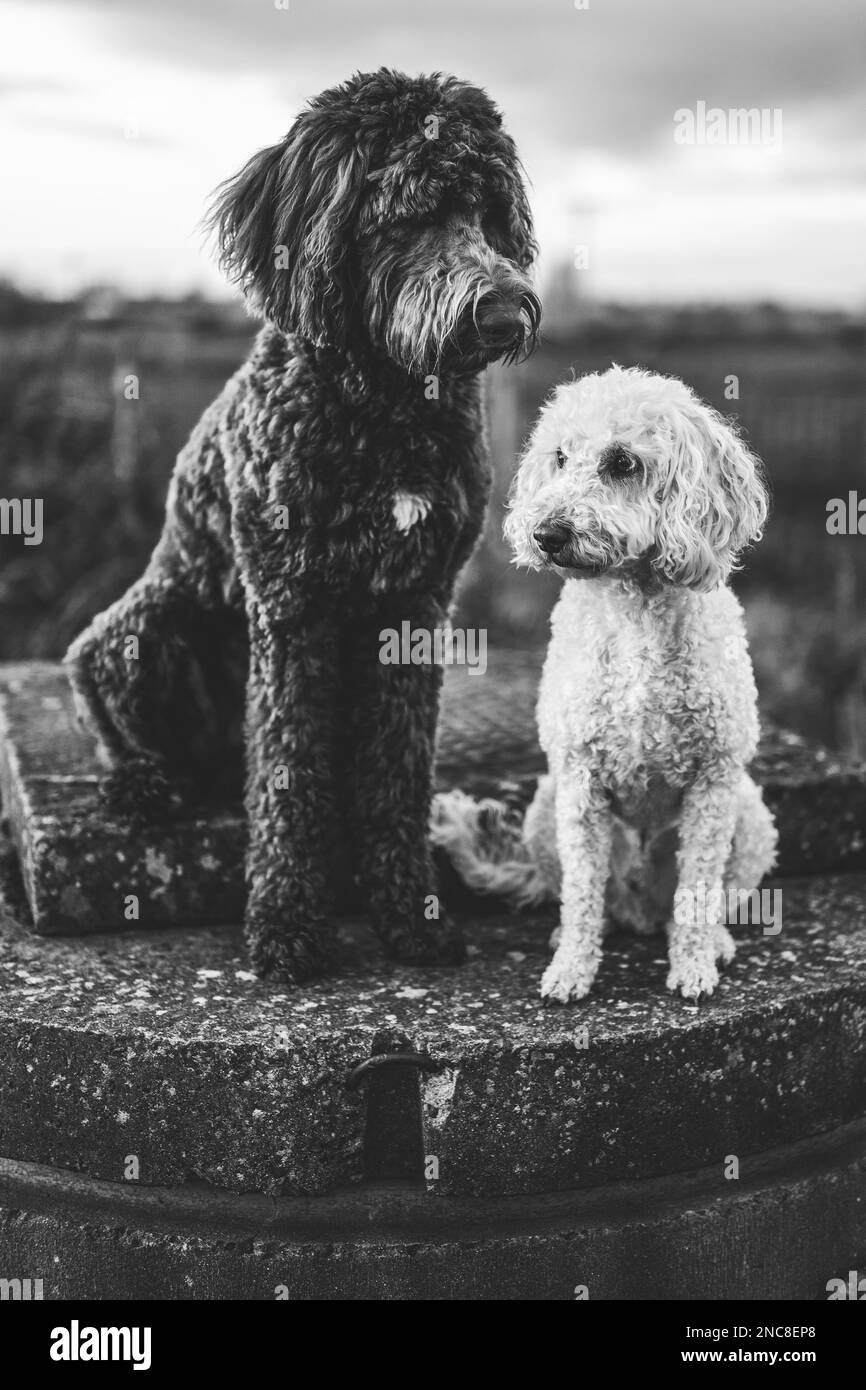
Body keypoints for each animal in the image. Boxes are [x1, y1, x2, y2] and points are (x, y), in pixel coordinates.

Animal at [67, 65, 539, 978]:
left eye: (489, 210)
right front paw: (286, 925)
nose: (503, 315)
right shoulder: (290, 605)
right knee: (113, 715)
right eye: (409, 212)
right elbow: (288, 773)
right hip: (139, 627)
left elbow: (398, 772)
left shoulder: (416, 605)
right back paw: (140, 783)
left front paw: (411, 915)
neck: (386, 405)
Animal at [433, 366, 778, 1000]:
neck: (633, 606)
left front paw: (693, 968)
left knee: (702, 901)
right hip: (546, 810)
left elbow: (697, 892)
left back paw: (712, 942)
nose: (546, 533)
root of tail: (640, 908)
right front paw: (571, 969)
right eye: (560, 457)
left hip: (750, 814)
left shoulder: (714, 782)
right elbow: (582, 892)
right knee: (594, 899)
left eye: (622, 462)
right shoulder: (579, 784)